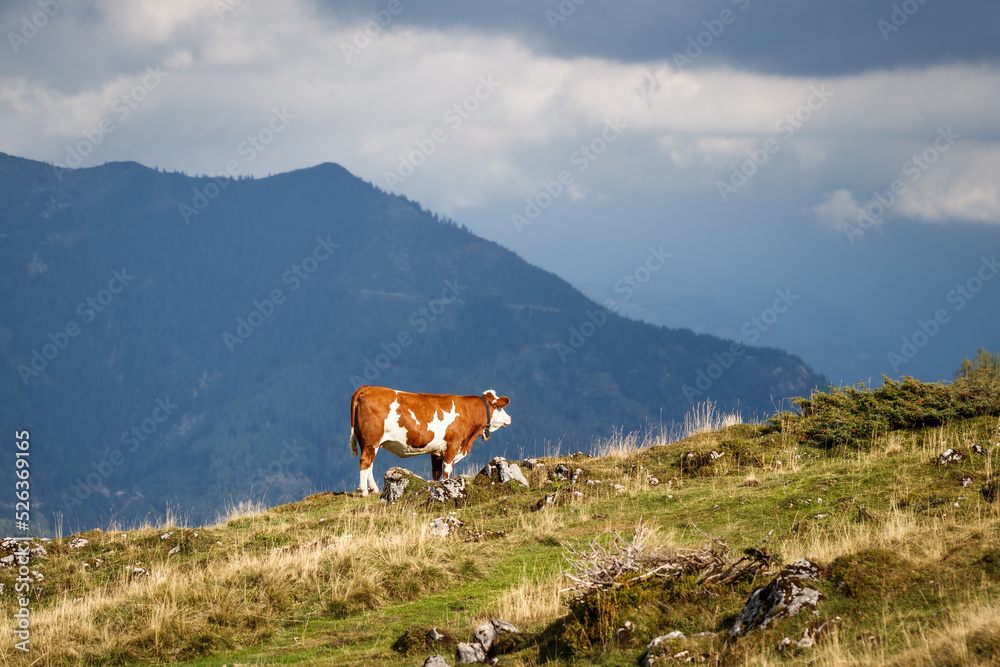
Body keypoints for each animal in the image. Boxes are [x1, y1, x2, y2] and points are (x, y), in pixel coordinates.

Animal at [350, 386, 508, 496]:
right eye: (500, 407)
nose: (509, 418)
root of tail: (367, 387)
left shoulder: (436, 451)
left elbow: (436, 473)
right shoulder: (453, 445)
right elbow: (446, 470)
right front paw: (446, 485)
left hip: (366, 441)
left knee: (369, 464)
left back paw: (374, 489)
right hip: (372, 440)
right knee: (365, 461)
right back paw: (364, 491)